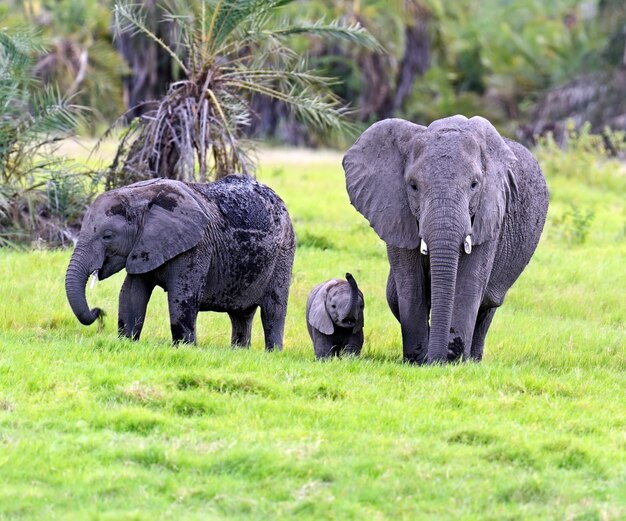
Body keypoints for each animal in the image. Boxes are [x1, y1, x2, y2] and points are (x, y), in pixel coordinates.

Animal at [66, 175, 294, 350]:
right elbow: (131, 294)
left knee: (273, 310)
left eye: (107, 236)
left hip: (285, 252)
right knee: (241, 314)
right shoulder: (143, 247)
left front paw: (185, 349)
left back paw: (272, 353)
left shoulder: (195, 247)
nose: (99, 312)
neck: (141, 197)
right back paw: (239, 352)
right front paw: (127, 343)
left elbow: (182, 297)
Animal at [342, 116, 544, 364]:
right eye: (413, 186)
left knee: (488, 305)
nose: (436, 361)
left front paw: (451, 362)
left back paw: (472, 361)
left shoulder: (491, 212)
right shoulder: (396, 210)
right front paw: (418, 361)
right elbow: (411, 284)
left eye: (474, 185)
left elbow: (469, 284)